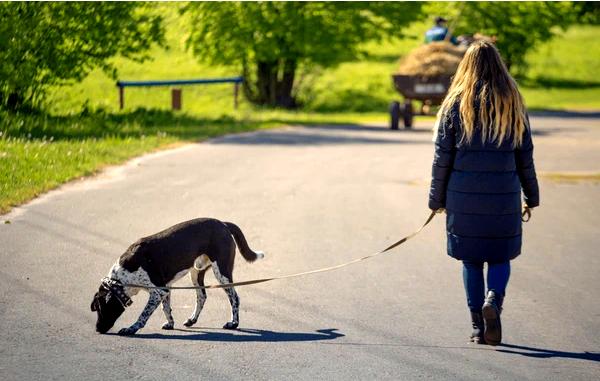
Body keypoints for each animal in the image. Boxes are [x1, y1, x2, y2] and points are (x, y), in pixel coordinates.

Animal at [90, 218, 264, 334]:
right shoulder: (165, 289)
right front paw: (170, 323)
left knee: (234, 297)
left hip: (222, 272)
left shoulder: (158, 291)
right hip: (196, 272)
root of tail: (223, 223)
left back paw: (233, 323)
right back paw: (192, 320)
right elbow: (166, 307)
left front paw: (132, 328)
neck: (122, 277)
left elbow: (143, 314)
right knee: (202, 296)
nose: (97, 329)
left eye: (100, 308)